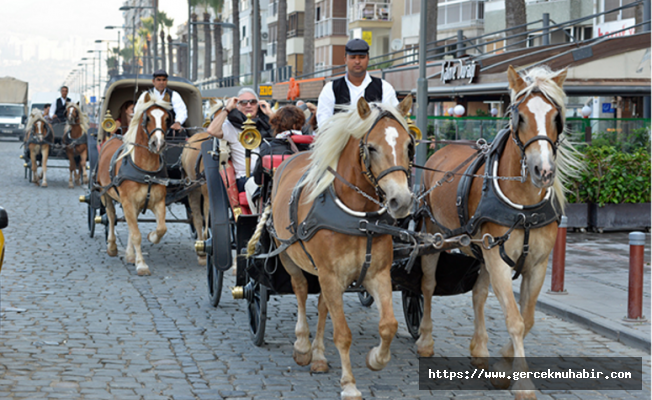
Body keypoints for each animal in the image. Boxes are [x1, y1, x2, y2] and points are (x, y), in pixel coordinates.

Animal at [97, 92, 172, 276]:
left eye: (167, 119)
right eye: (147, 118)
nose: (158, 143)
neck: (145, 170)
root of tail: (113, 136)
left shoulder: (158, 202)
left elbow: (161, 228)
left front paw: (151, 236)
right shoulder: (127, 202)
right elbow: (136, 233)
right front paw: (142, 265)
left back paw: (130, 254)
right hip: (105, 192)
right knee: (111, 216)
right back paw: (112, 246)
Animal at [181, 97, 227, 266]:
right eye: (215, 119)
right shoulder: (208, 193)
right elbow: (206, 217)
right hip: (193, 188)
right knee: (197, 215)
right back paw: (201, 250)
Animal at [250, 96, 418, 400]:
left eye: (408, 146)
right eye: (371, 147)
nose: (401, 201)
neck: (359, 219)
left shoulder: (377, 274)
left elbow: (388, 325)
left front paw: (376, 359)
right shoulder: (330, 275)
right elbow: (342, 334)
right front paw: (349, 385)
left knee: (322, 304)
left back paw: (318, 356)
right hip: (288, 255)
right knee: (301, 290)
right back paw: (303, 347)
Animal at [418, 64, 580, 398]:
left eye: (556, 117)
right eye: (520, 117)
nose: (543, 171)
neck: (524, 205)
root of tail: (442, 149)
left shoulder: (536, 264)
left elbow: (527, 318)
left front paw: (502, 367)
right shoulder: (498, 258)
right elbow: (515, 320)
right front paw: (523, 384)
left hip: (480, 250)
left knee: (479, 293)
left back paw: (479, 350)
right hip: (434, 236)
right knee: (427, 285)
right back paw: (425, 341)